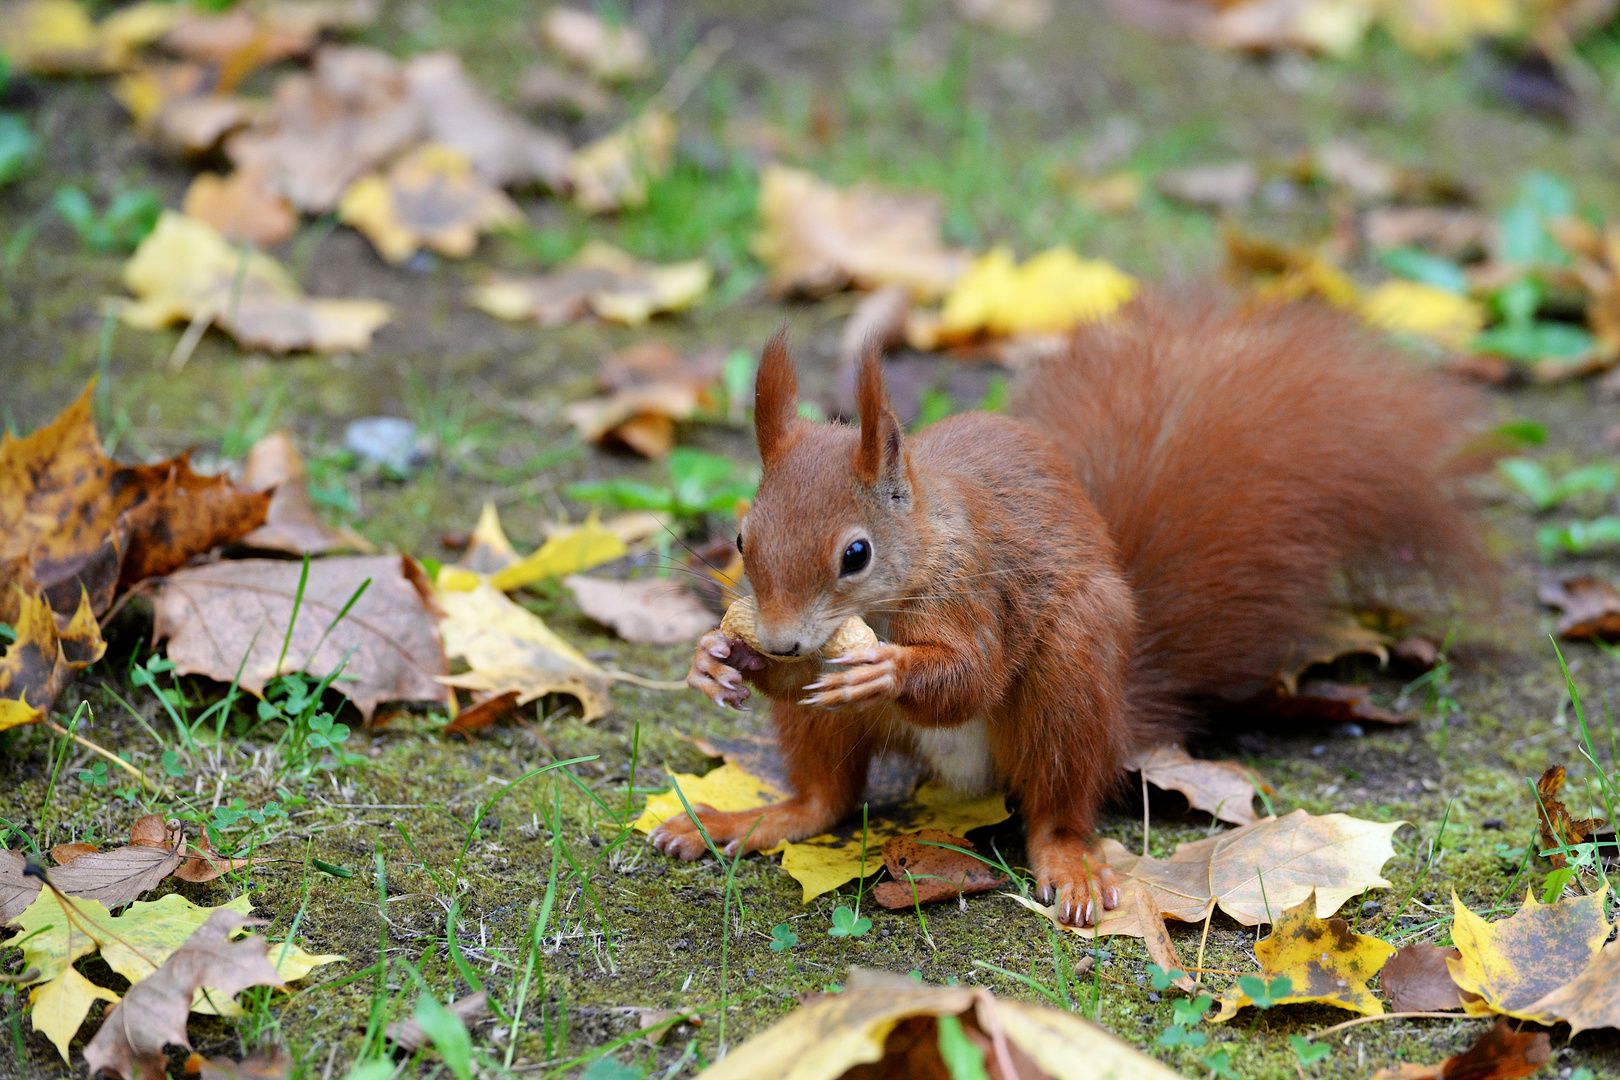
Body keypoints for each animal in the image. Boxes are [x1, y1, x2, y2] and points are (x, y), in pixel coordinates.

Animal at [651, 291, 1483, 926]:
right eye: (741, 537)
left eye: (855, 554)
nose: (783, 639)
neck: (913, 560)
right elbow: (788, 680)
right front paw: (715, 659)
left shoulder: (972, 588)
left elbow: (970, 678)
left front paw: (884, 669)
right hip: (828, 729)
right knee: (827, 799)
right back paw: (751, 820)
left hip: (1070, 677)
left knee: (1056, 805)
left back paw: (1069, 863)